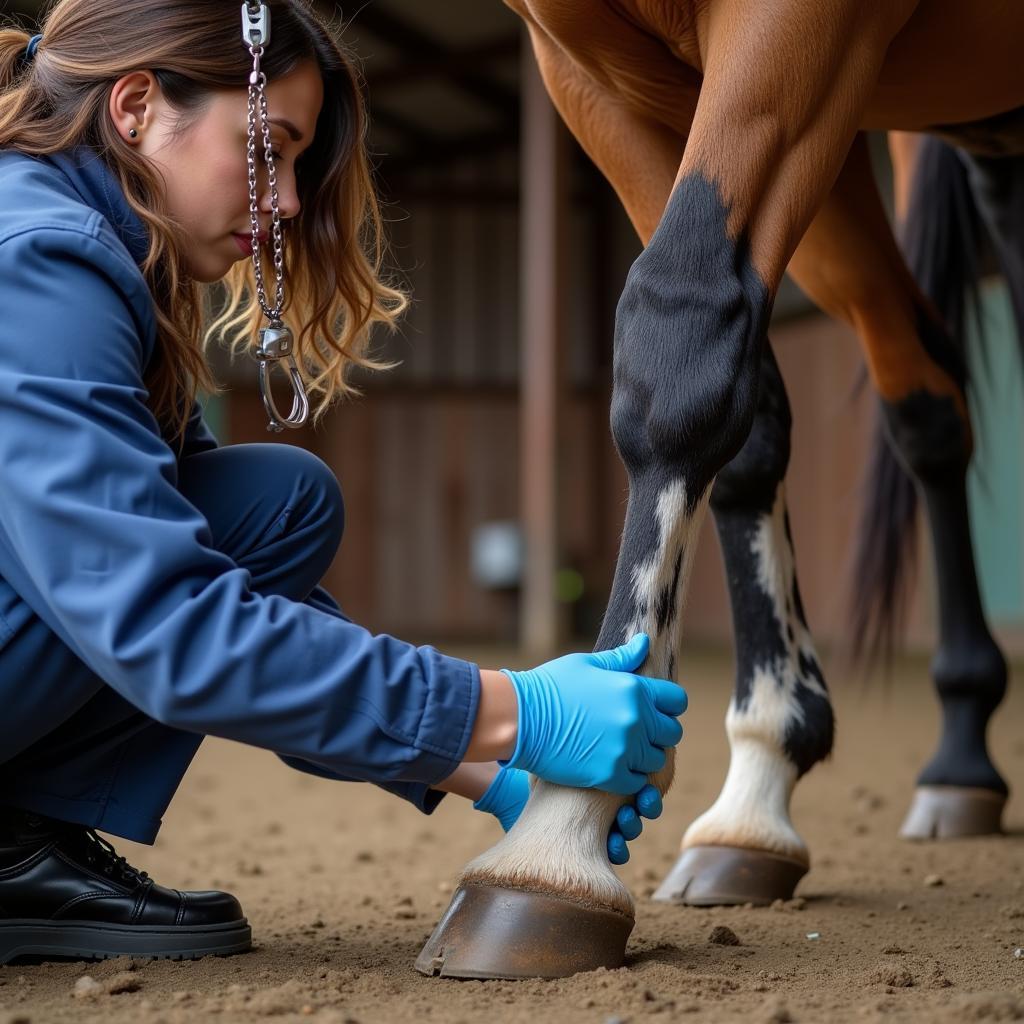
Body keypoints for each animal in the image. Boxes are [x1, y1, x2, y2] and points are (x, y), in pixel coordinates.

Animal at [415, 0, 1024, 978]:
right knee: (925, 396)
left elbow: (685, 322)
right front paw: (754, 786)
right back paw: (961, 761)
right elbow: (748, 414)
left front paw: (555, 840)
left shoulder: (800, 30)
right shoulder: (590, 71)